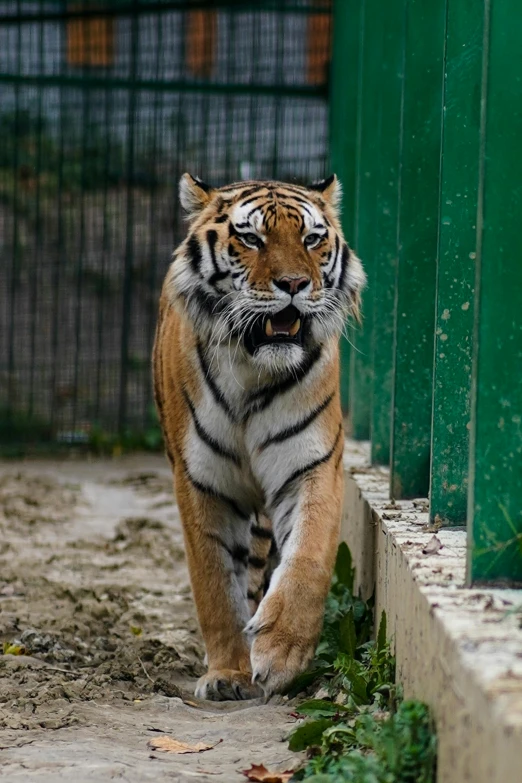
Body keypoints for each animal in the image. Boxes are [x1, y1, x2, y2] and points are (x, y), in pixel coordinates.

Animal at [152, 175, 364, 700]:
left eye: (312, 238)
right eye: (251, 239)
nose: (294, 285)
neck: (254, 370)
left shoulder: (312, 467)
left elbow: (307, 559)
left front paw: (281, 652)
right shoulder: (201, 482)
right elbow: (214, 582)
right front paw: (228, 672)